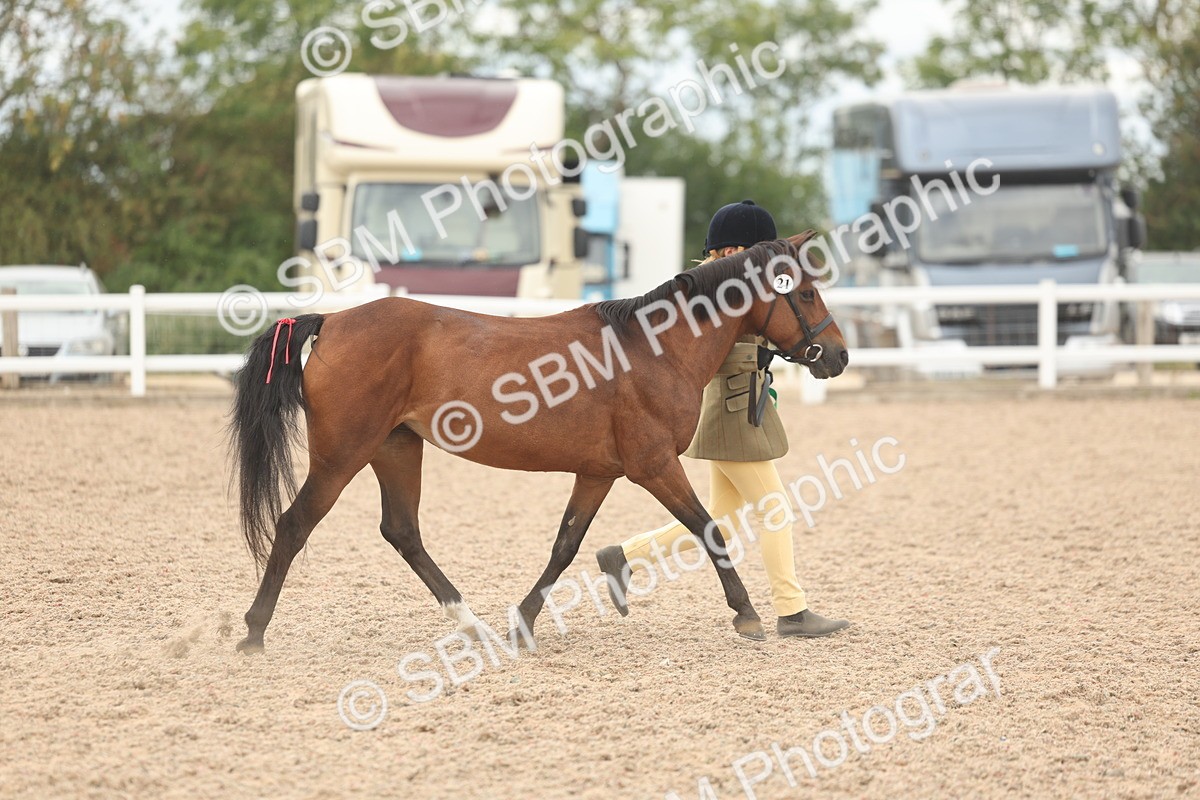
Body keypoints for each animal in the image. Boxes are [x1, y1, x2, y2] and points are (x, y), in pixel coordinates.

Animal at [228, 232, 848, 652]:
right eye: (806, 294)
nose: (838, 356)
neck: (654, 348)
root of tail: (333, 322)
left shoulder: (599, 472)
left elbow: (565, 545)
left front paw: (523, 622)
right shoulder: (653, 465)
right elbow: (707, 528)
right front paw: (747, 614)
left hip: (397, 448)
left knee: (402, 531)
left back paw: (473, 625)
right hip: (342, 455)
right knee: (295, 525)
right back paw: (253, 633)